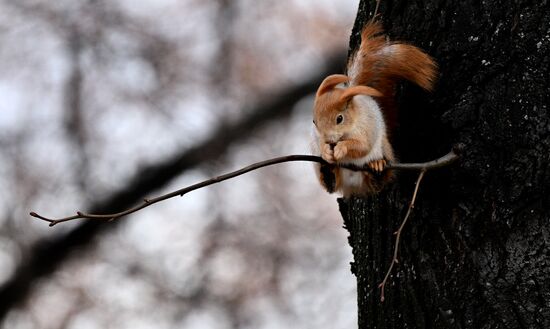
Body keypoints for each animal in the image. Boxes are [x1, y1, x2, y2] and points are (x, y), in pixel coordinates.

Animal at [312, 21, 438, 195]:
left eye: (340, 118)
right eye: (314, 122)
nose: (329, 140)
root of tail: (355, 186)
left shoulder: (367, 128)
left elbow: (362, 146)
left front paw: (341, 148)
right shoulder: (315, 138)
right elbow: (321, 145)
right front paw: (325, 150)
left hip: (384, 149)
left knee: (380, 179)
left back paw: (377, 165)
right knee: (330, 185)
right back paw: (327, 171)